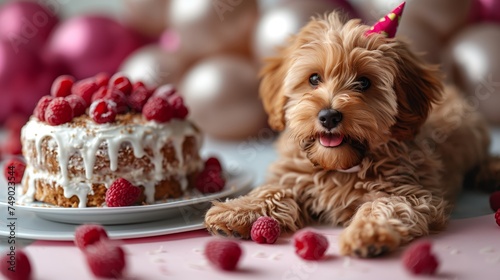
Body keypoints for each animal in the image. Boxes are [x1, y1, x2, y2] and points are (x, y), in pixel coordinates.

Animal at [203, 4, 496, 258]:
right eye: (313, 78)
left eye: (364, 82)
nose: (329, 116)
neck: (339, 166)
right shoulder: (294, 174)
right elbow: (275, 189)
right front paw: (237, 210)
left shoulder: (414, 194)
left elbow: (384, 205)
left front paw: (368, 233)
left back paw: (491, 169)